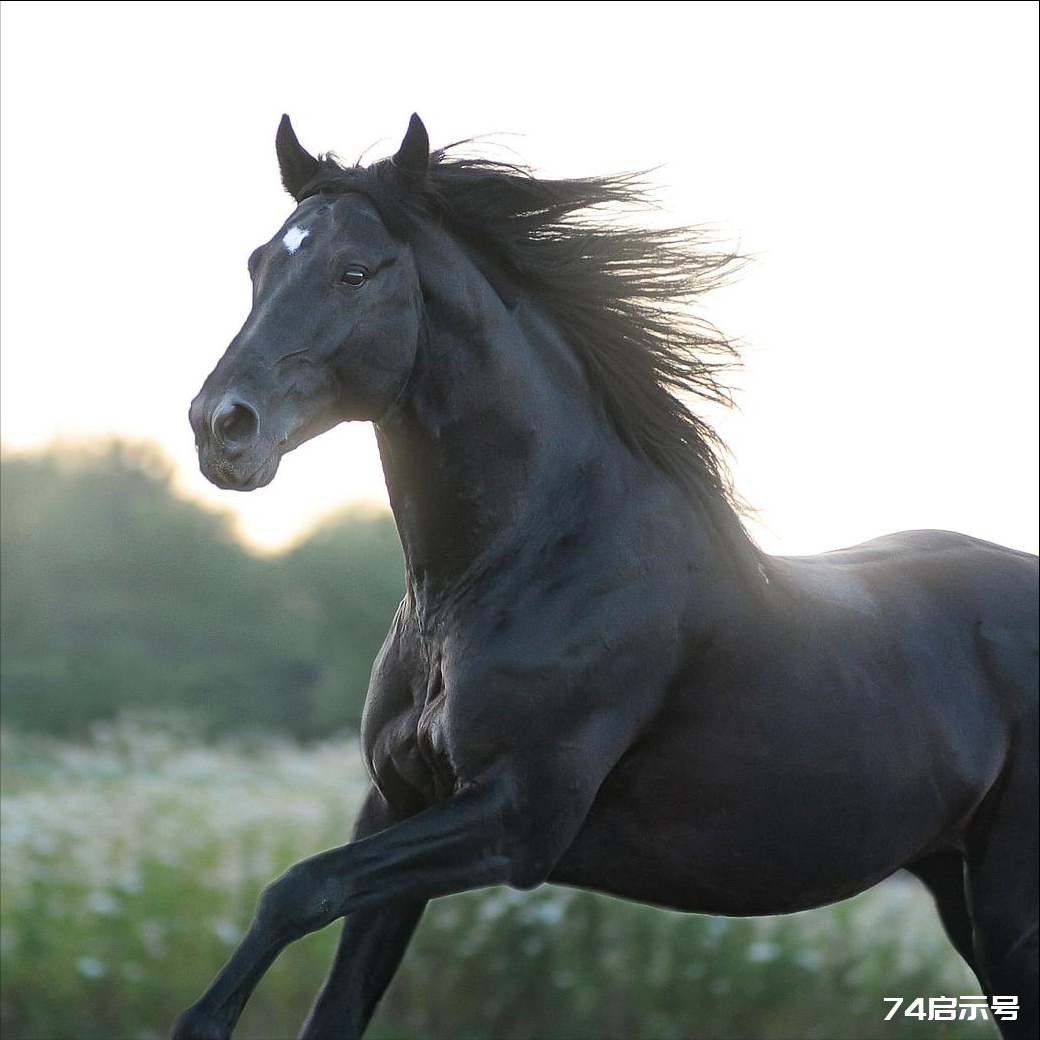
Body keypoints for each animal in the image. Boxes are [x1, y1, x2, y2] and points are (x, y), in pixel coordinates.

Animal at [174, 115, 1035, 1040]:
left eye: (355, 271)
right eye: (259, 263)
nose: (221, 429)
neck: (522, 569)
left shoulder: (515, 821)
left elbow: (297, 889)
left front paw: (203, 1022)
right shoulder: (401, 803)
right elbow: (331, 979)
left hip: (1008, 904)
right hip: (955, 883)